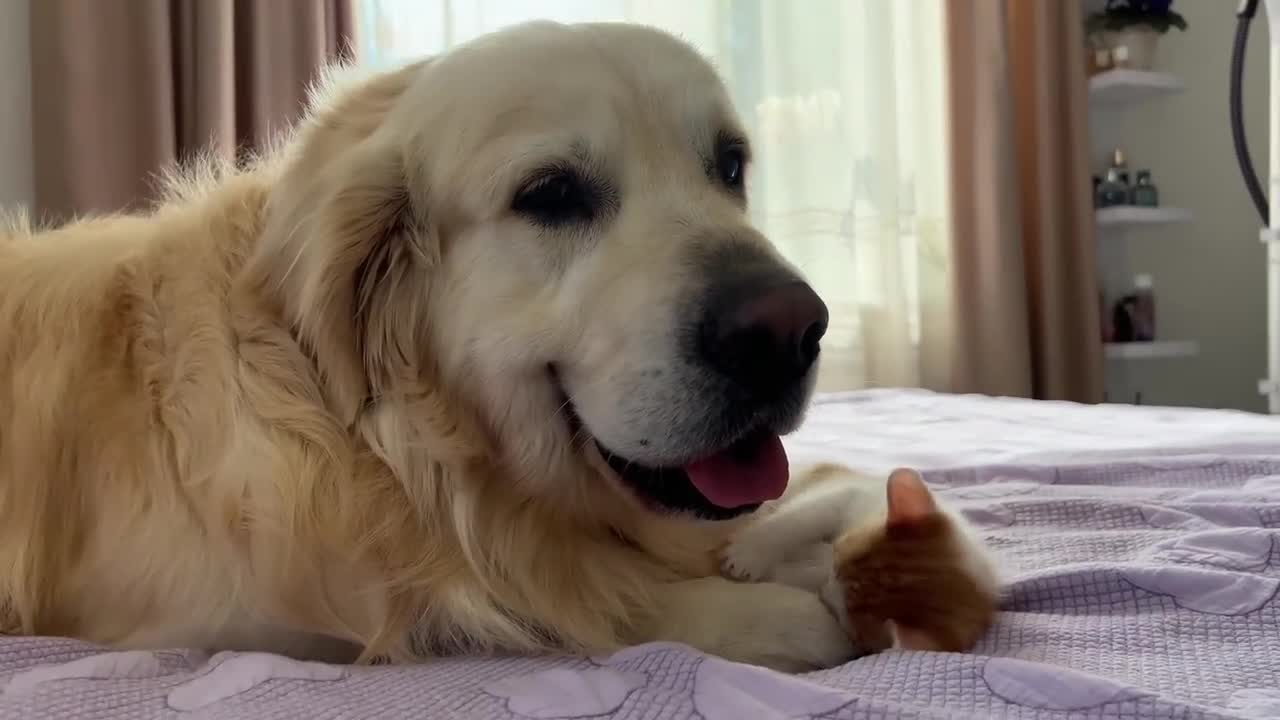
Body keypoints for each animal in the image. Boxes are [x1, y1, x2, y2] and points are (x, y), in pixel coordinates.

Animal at [5, 20, 860, 671]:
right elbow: (540, 601)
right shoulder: (226, 614)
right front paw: (774, 610)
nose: (788, 331)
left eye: (729, 165)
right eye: (551, 194)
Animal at [721, 461, 998, 653]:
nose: (826, 587)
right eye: (837, 552)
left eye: (838, 609)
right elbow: (801, 519)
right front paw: (749, 553)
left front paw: (777, 570)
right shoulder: (851, 493)